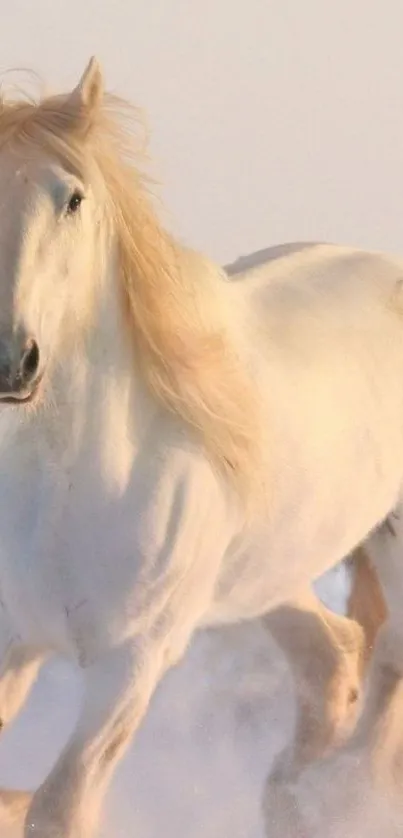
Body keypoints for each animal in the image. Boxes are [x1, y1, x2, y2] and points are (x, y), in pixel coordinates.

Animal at [0, 55, 403, 836]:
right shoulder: (12, 639)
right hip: (272, 568)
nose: (11, 362)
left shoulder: (131, 664)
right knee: (333, 659)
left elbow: (58, 808)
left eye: (73, 200)